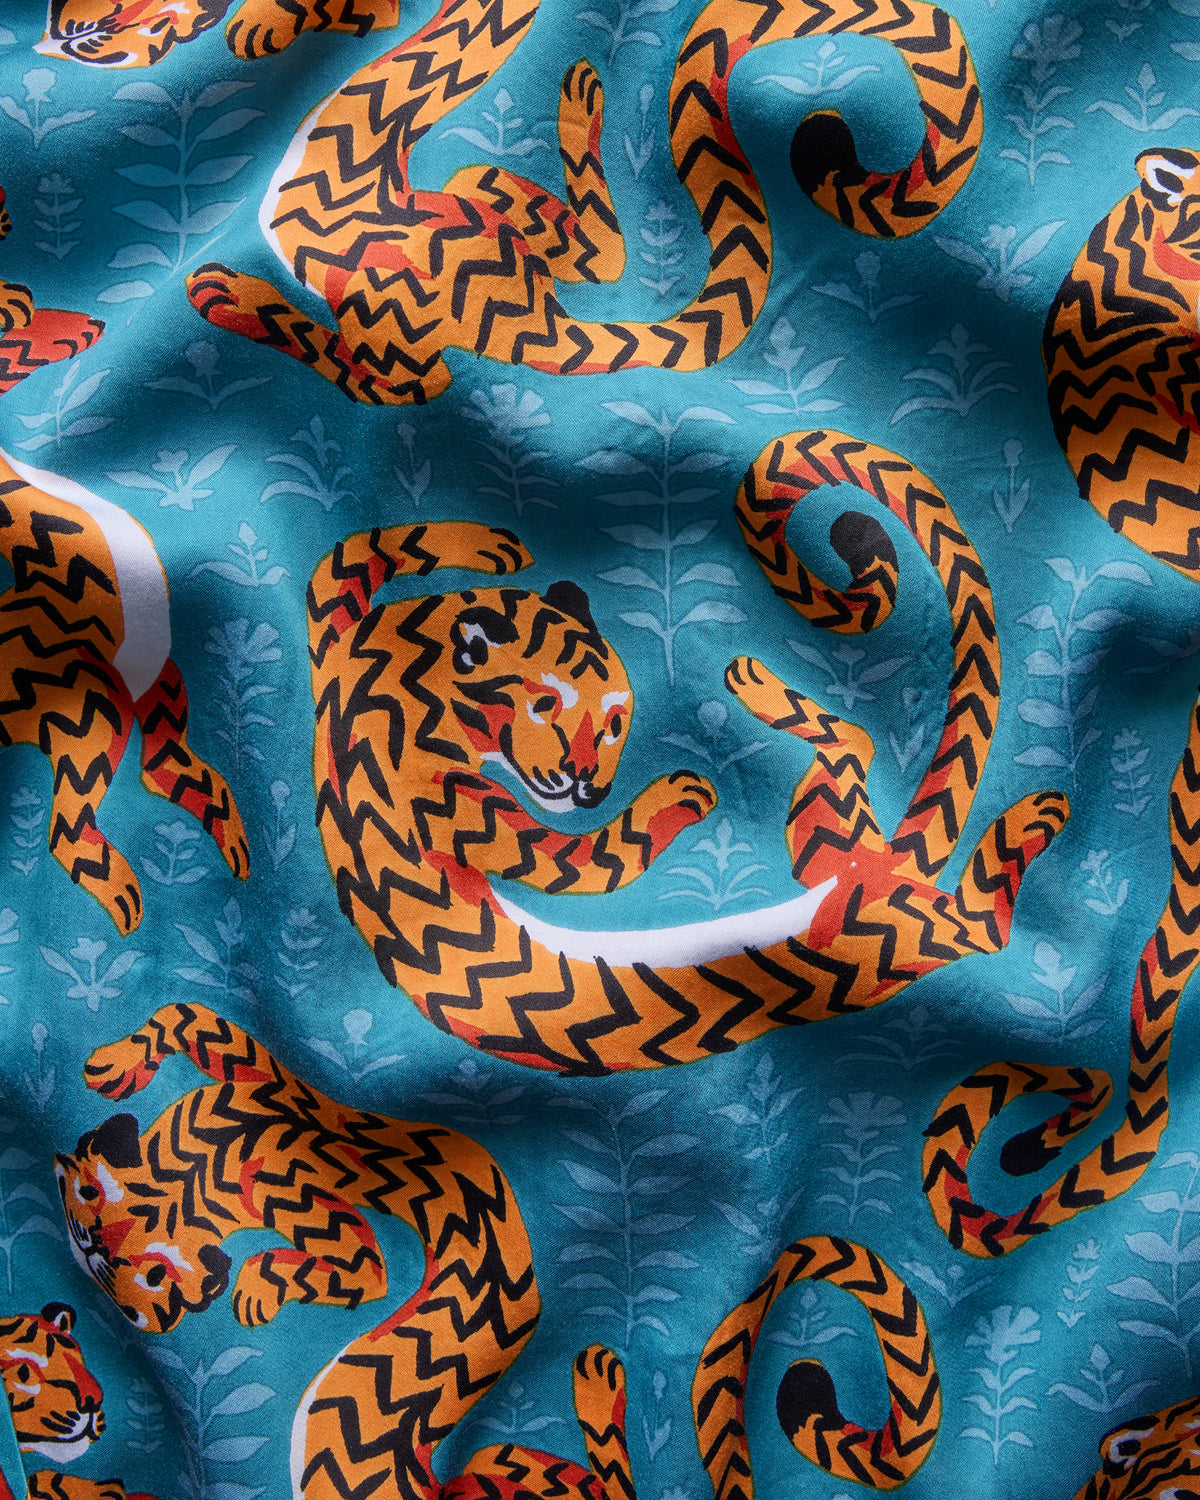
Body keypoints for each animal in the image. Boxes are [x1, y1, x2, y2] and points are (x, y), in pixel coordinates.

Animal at [183, 0, 981, 404]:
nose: (243, 34)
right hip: (478, 185)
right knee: (594, 262)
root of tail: (537, 325)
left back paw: (231, 296)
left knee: (410, 384)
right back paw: (581, 105)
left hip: (386, 304)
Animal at [306, 432, 1069, 1076]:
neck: (394, 679)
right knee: (978, 907)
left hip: (838, 853)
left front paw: (494, 546)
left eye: (616, 724)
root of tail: (884, 870)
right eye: (546, 706)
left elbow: (348, 559)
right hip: (861, 878)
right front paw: (677, 795)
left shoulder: (336, 636)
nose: (588, 788)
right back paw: (1034, 814)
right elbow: (592, 862)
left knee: (872, 765)